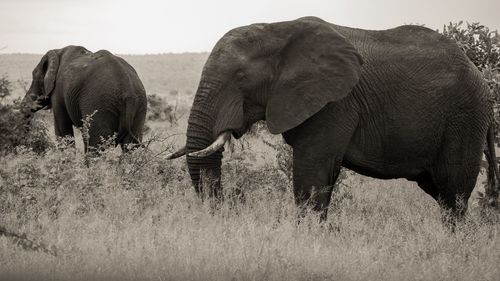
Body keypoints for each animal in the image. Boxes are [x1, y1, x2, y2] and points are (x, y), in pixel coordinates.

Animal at [169, 16, 500, 220]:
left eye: (240, 77)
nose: (232, 205)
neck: (277, 29)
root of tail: (482, 78)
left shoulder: (334, 103)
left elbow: (311, 174)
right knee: (441, 192)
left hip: (464, 118)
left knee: (453, 193)